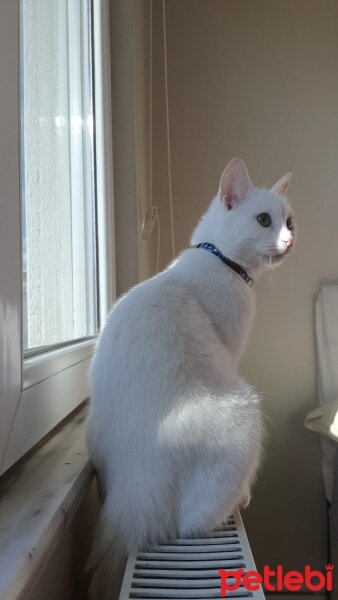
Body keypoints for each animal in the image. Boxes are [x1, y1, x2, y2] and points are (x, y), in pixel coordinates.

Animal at [86, 158, 294, 596]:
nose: (288, 241)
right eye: (264, 220)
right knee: (191, 523)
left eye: (289, 221)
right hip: (245, 411)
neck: (219, 260)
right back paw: (239, 501)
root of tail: (128, 503)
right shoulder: (231, 350)